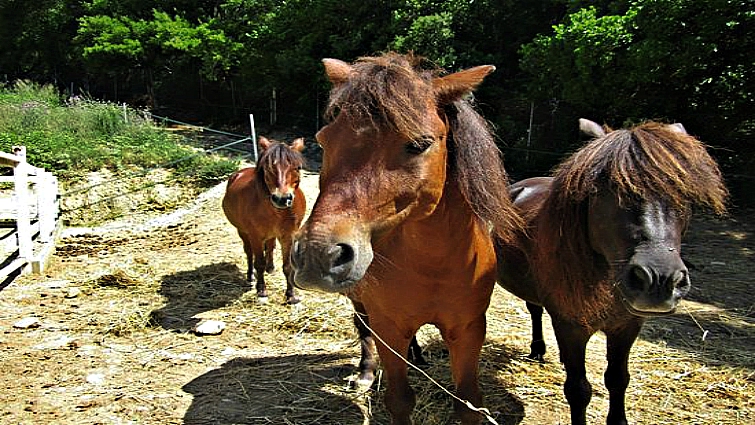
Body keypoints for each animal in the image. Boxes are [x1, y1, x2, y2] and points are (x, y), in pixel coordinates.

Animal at [222, 136, 306, 305]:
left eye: (297, 168)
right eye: (268, 168)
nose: (282, 199)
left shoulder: (288, 235)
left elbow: (288, 266)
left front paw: (291, 295)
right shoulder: (254, 235)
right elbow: (258, 263)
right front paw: (261, 291)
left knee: (270, 246)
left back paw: (271, 267)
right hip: (242, 232)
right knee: (249, 253)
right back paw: (250, 276)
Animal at [290, 52, 522, 425]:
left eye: (419, 145)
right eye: (324, 140)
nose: (317, 254)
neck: (433, 265)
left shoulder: (468, 330)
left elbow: (468, 403)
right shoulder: (389, 329)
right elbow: (399, 399)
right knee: (362, 328)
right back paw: (366, 373)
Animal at [495, 119, 728, 425]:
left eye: (683, 195)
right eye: (607, 190)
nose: (660, 280)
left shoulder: (627, 326)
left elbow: (617, 379)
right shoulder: (570, 327)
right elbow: (578, 390)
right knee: (535, 310)